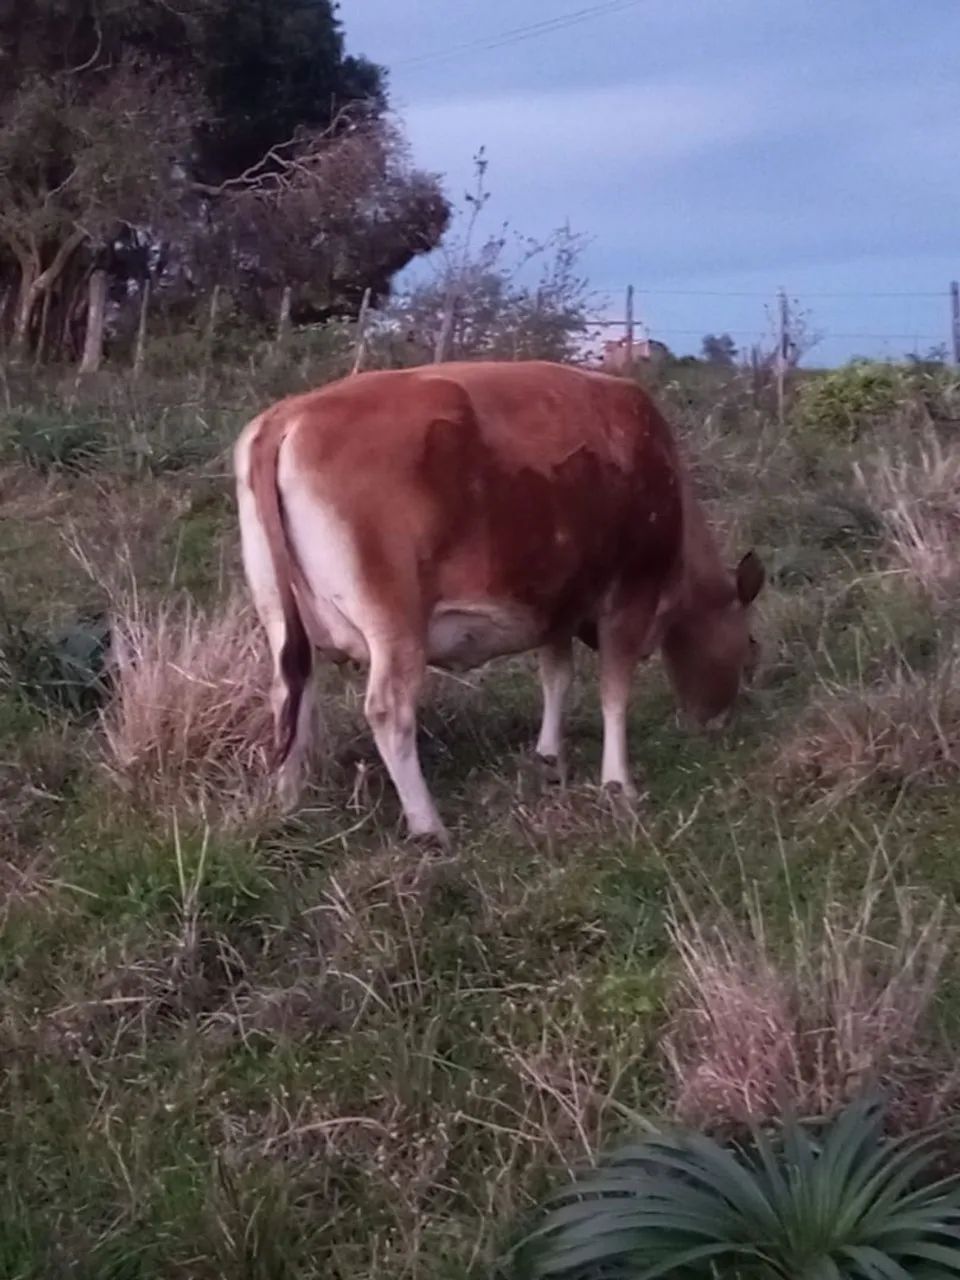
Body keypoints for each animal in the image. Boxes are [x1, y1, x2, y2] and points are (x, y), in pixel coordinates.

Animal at [234, 360, 764, 845]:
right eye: (750, 649)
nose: (718, 724)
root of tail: (289, 413)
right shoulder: (630, 594)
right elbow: (614, 692)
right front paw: (619, 784)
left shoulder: (557, 603)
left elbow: (557, 676)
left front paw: (549, 756)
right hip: (395, 621)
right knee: (387, 709)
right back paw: (428, 825)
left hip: (280, 613)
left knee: (291, 693)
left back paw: (291, 803)